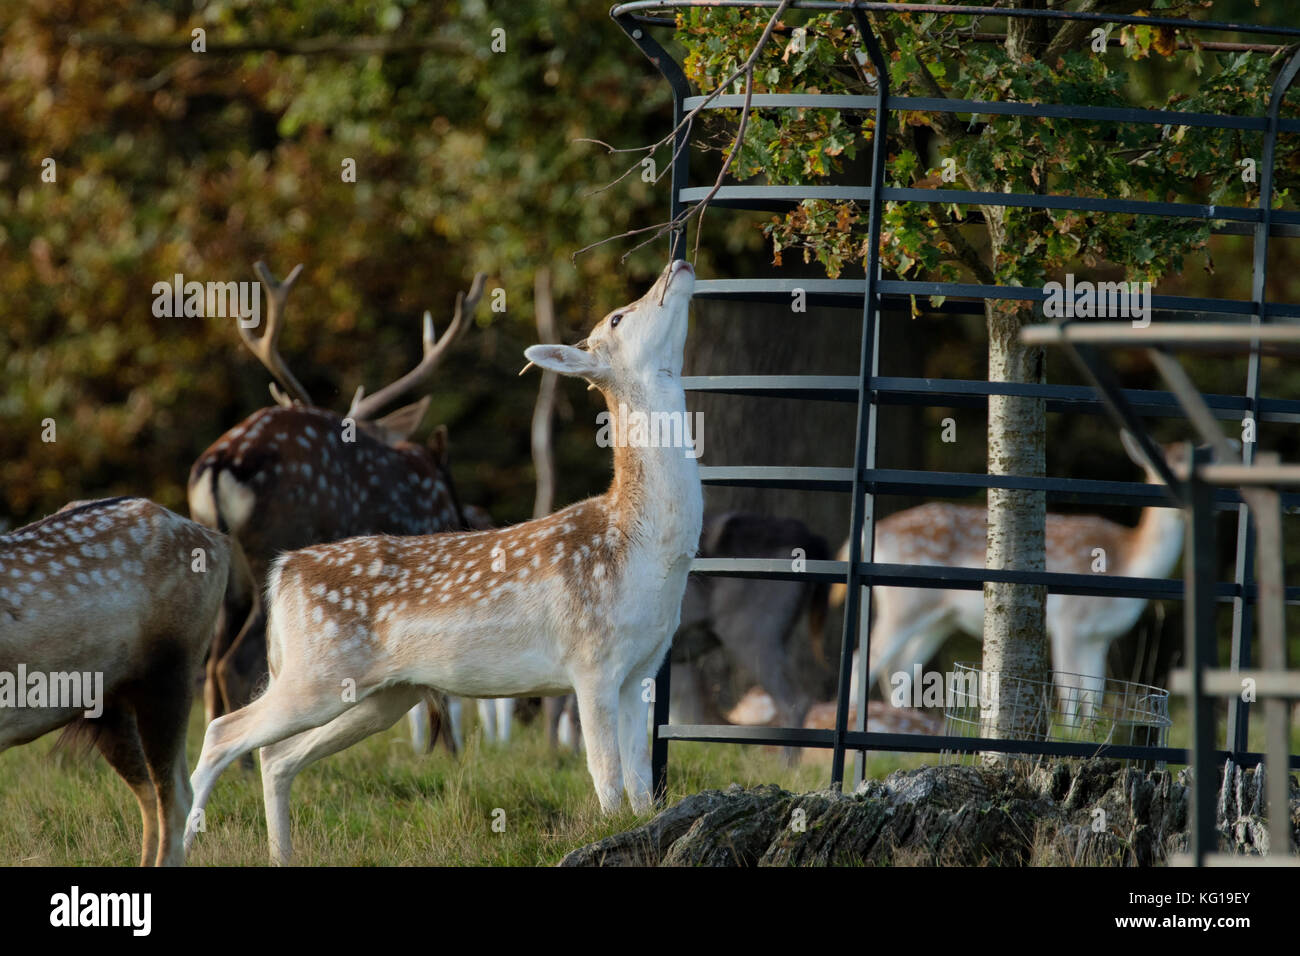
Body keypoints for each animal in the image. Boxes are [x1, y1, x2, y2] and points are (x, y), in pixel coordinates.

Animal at [834, 431, 1187, 717]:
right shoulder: (1069, 621)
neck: (1127, 561)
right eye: (1167, 464)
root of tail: (868, 533)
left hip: (938, 616)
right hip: (905, 603)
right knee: (864, 659)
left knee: (899, 667)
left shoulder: (1100, 636)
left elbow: (1094, 692)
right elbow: (1070, 688)